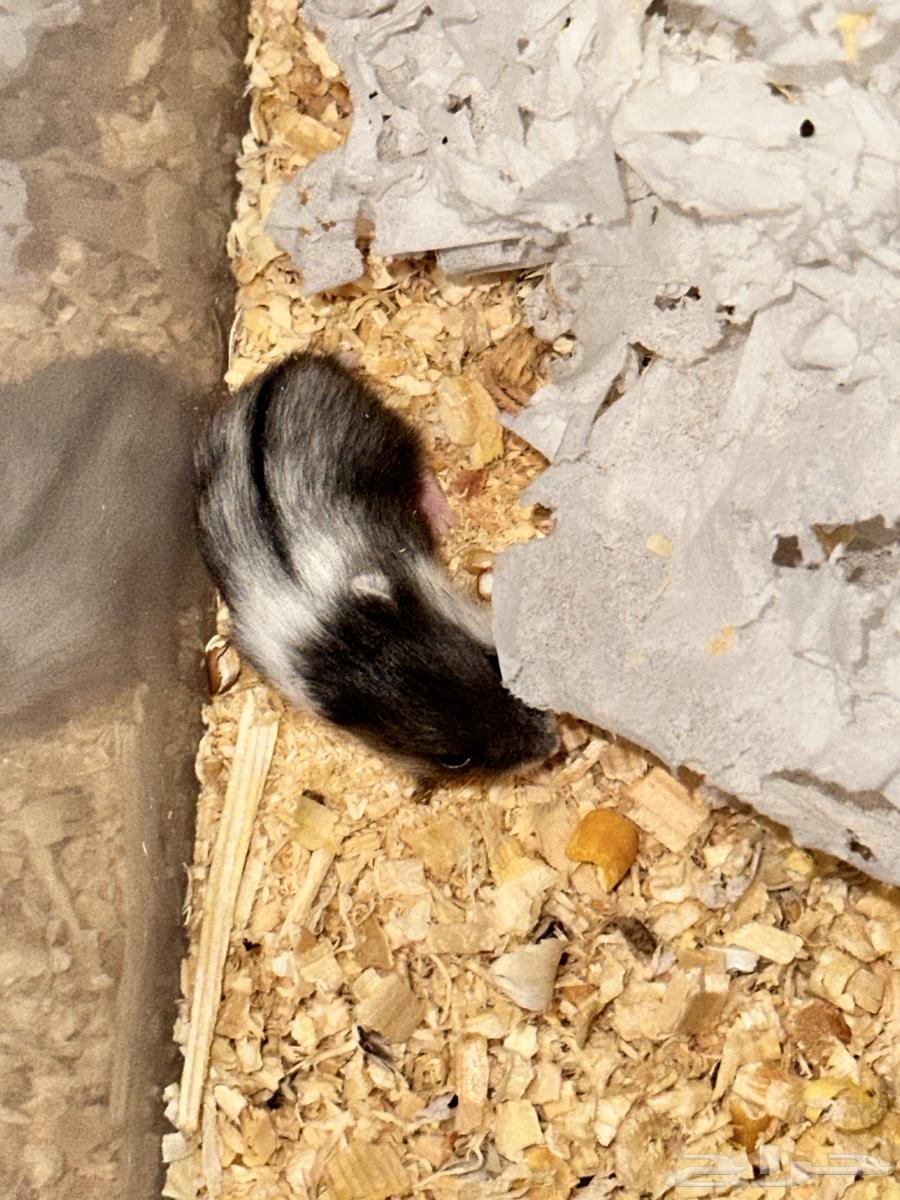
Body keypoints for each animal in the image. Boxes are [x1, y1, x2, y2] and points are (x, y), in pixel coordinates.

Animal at [194, 353, 559, 779]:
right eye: (455, 759)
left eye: (494, 662)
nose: (555, 743)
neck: (337, 640)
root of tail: (288, 365)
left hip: (388, 436)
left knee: (419, 464)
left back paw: (444, 518)